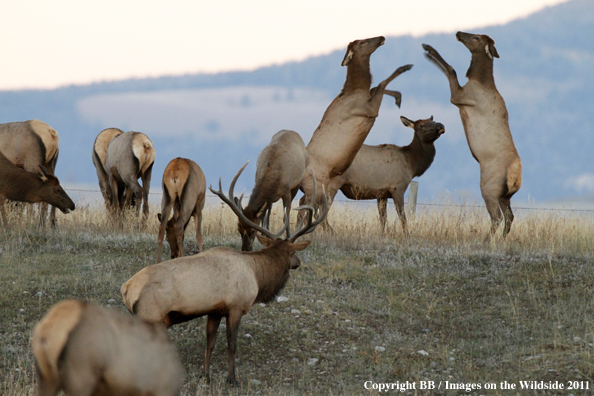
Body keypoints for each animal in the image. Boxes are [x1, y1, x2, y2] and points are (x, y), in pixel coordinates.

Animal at [121, 161, 328, 386]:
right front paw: (232, 379)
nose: (298, 262)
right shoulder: (235, 306)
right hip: (151, 316)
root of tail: (126, 289)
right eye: (292, 252)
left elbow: (210, 343)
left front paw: (205, 375)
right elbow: (231, 344)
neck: (257, 276)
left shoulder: (215, 310)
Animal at [300, 36, 412, 226]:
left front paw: (398, 96)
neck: (356, 89)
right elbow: (380, 84)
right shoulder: (368, 110)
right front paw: (404, 68)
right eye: (362, 43)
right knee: (306, 207)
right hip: (317, 183)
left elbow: (376, 87)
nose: (381, 37)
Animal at [420, 32, 524, 237]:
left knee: (497, 217)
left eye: (476, 37)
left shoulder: (460, 97)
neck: (479, 81)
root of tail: (517, 178)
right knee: (510, 216)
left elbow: (451, 69)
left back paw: (486, 240)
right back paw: (501, 239)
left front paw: (428, 50)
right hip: (505, 195)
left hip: (489, 188)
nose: (459, 33)